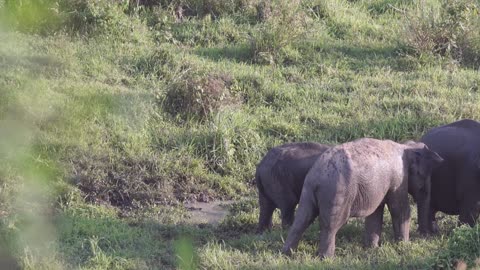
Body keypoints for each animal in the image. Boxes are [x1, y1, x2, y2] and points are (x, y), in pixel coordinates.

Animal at [282, 138, 442, 258]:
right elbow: (400, 210)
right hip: (338, 192)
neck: (405, 146)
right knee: (331, 225)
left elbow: (375, 213)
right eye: (423, 177)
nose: (426, 235)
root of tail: (318, 175)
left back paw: (287, 254)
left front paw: (372, 249)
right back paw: (327, 258)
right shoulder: (398, 179)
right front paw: (403, 246)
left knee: (302, 218)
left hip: (308, 190)